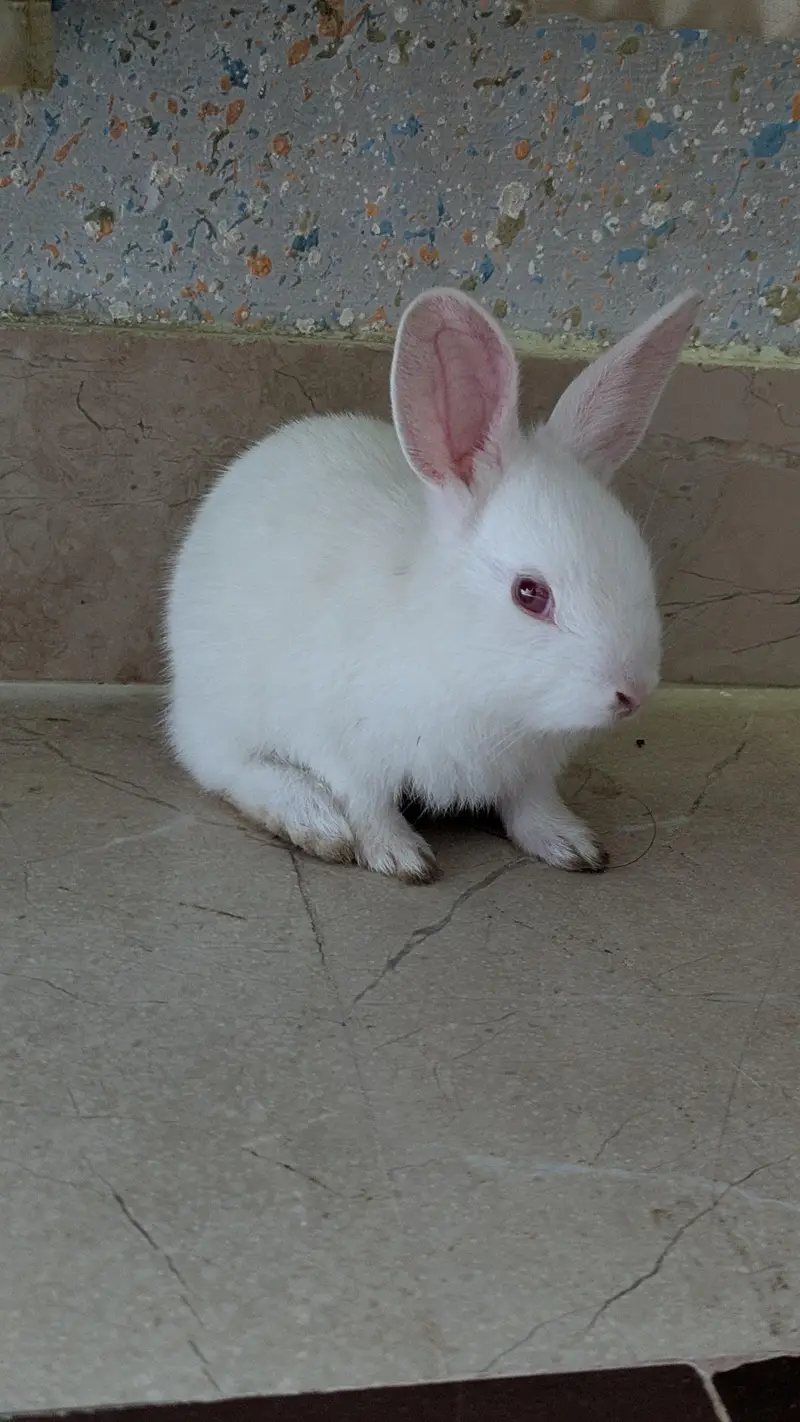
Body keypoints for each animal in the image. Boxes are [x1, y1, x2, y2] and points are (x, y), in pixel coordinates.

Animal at [166, 286, 700, 882]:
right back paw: (312, 820)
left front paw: (572, 845)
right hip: (221, 708)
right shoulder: (341, 747)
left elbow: (532, 805)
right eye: (529, 593)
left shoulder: (531, 770)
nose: (633, 693)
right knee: (223, 767)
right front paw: (401, 858)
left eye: (639, 561)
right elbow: (366, 805)